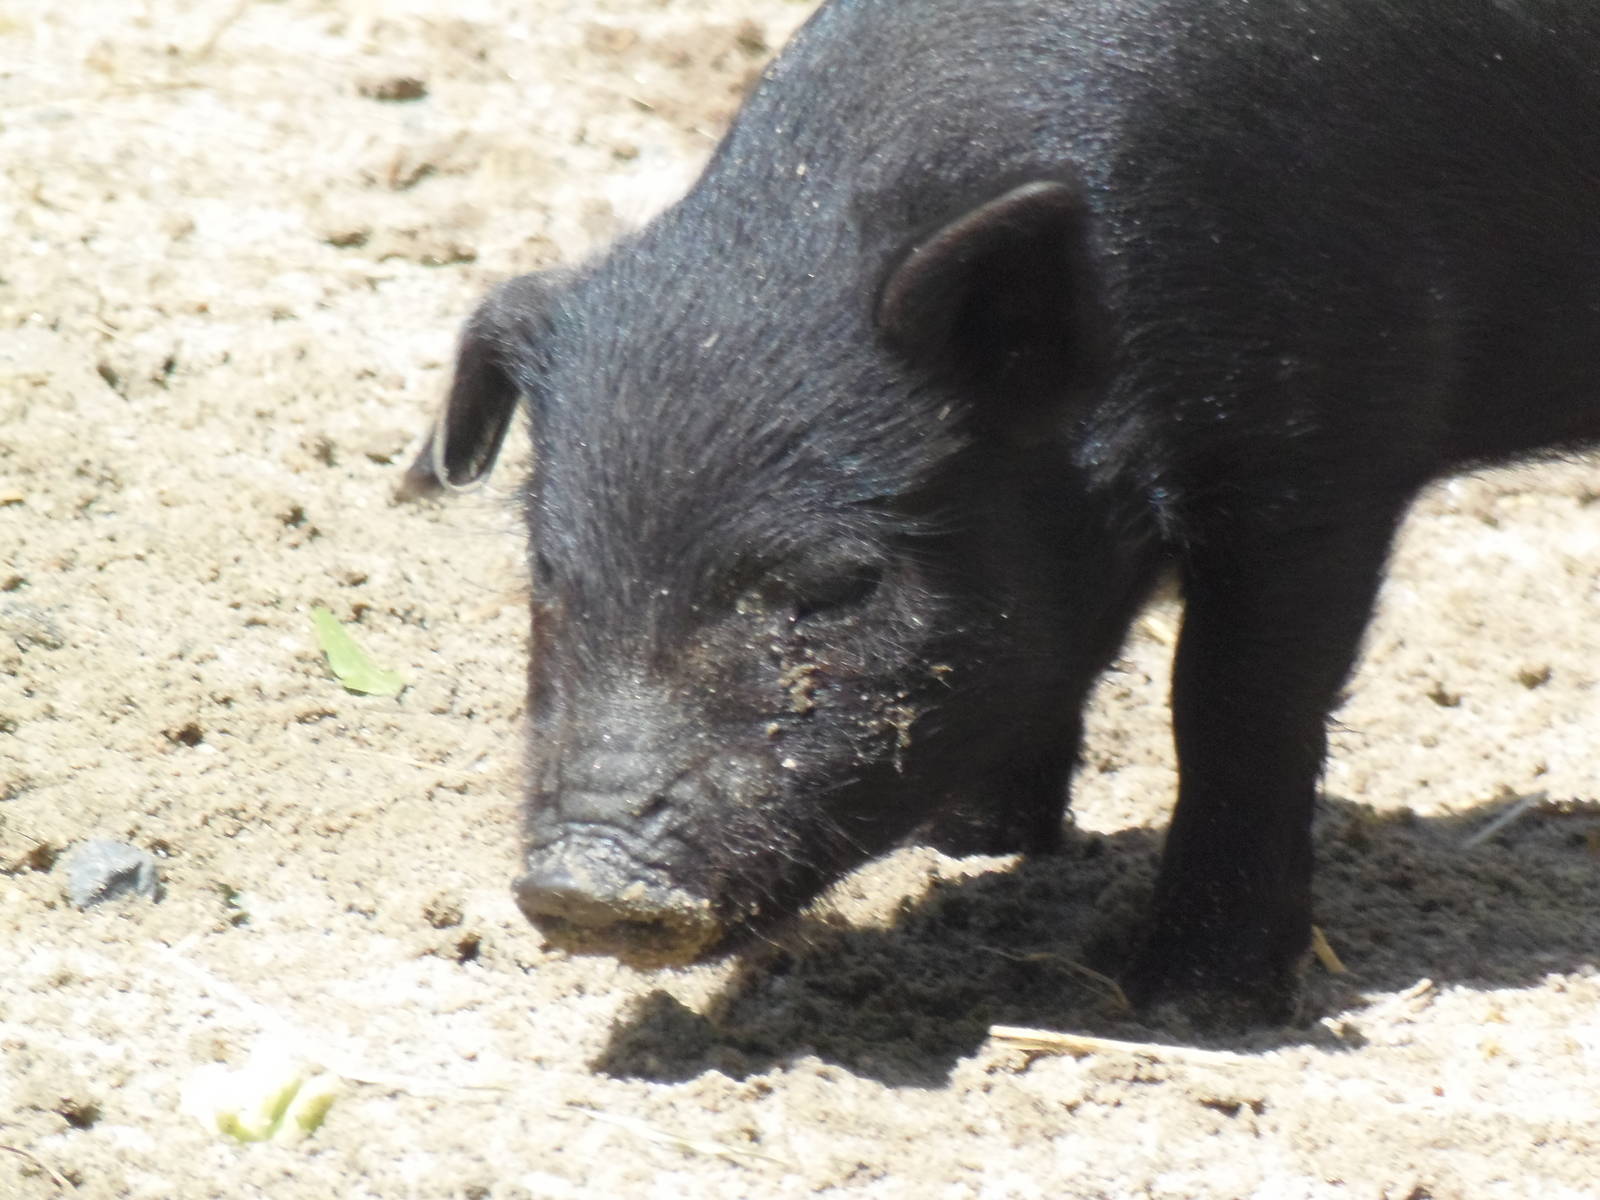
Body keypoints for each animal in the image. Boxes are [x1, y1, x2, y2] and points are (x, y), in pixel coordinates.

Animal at [403, 0, 1600, 1021]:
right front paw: (969, 848)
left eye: (839, 582)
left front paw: (1191, 1004)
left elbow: (1235, 705)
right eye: (547, 570)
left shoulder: (1323, 451)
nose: (585, 890)